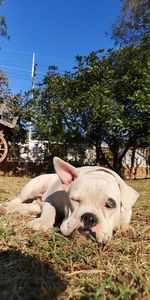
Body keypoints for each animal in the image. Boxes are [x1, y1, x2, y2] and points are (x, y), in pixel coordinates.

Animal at [1, 158, 139, 243]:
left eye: (110, 205)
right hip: (33, 186)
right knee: (18, 200)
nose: (89, 217)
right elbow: (50, 212)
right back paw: (6, 206)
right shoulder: (50, 200)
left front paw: (126, 229)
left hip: (35, 203)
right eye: (74, 200)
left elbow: (124, 222)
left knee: (29, 207)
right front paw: (42, 222)